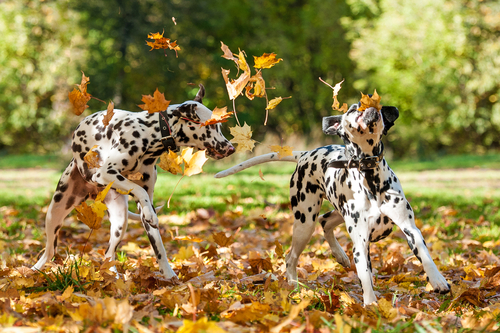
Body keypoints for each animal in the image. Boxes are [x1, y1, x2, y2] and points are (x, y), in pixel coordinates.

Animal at [33, 85, 234, 278]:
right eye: (211, 126)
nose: (231, 148)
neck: (151, 133)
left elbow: (158, 245)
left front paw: (169, 276)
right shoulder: (105, 173)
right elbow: (139, 190)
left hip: (120, 220)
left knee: (109, 254)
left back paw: (112, 276)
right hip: (55, 212)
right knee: (50, 251)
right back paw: (34, 271)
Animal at [217, 103, 452, 304]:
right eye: (353, 109)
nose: (366, 106)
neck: (370, 176)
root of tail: (305, 154)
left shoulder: (410, 228)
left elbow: (425, 255)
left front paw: (438, 280)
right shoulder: (360, 242)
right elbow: (365, 275)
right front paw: (370, 305)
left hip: (336, 212)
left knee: (325, 221)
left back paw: (339, 254)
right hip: (305, 222)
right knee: (291, 256)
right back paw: (294, 286)